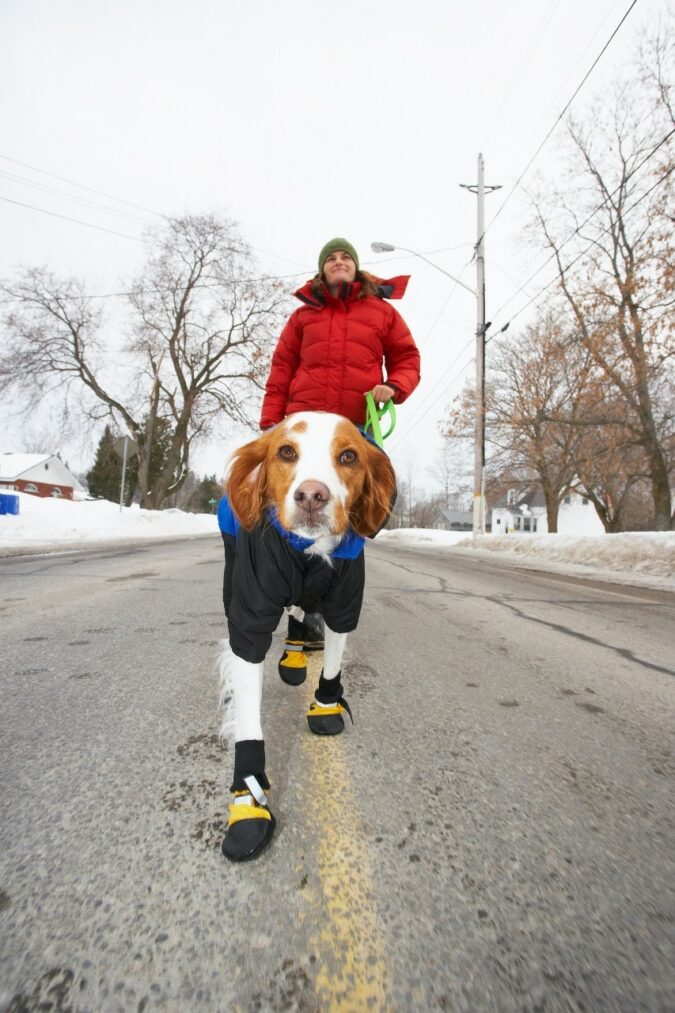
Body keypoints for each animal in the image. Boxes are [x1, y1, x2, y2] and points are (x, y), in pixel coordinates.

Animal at [216, 411, 395, 863]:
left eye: (348, 456)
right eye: (285, 452)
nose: (313, 495)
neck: (308, 554)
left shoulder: (345, 599)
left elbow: (332, 661)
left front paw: (327, 704)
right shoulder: (251, 614)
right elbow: (248, 714)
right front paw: (248, 800)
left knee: (299, 612)